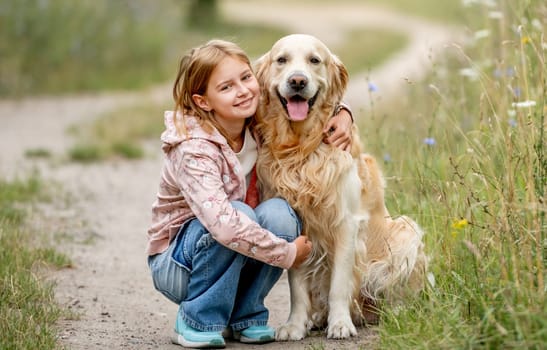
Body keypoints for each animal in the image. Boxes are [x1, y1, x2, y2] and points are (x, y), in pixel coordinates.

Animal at [253, 32, 428, 340]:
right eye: (281, 60)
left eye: (314, 60)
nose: (297, 81)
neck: (302, 149)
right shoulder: (299, 224)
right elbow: (296, 288)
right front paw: (295, 325)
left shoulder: (347, 223)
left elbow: (339, 284)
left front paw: (340, 324)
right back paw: (316, 319)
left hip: (406, 231)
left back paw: (396, 312)